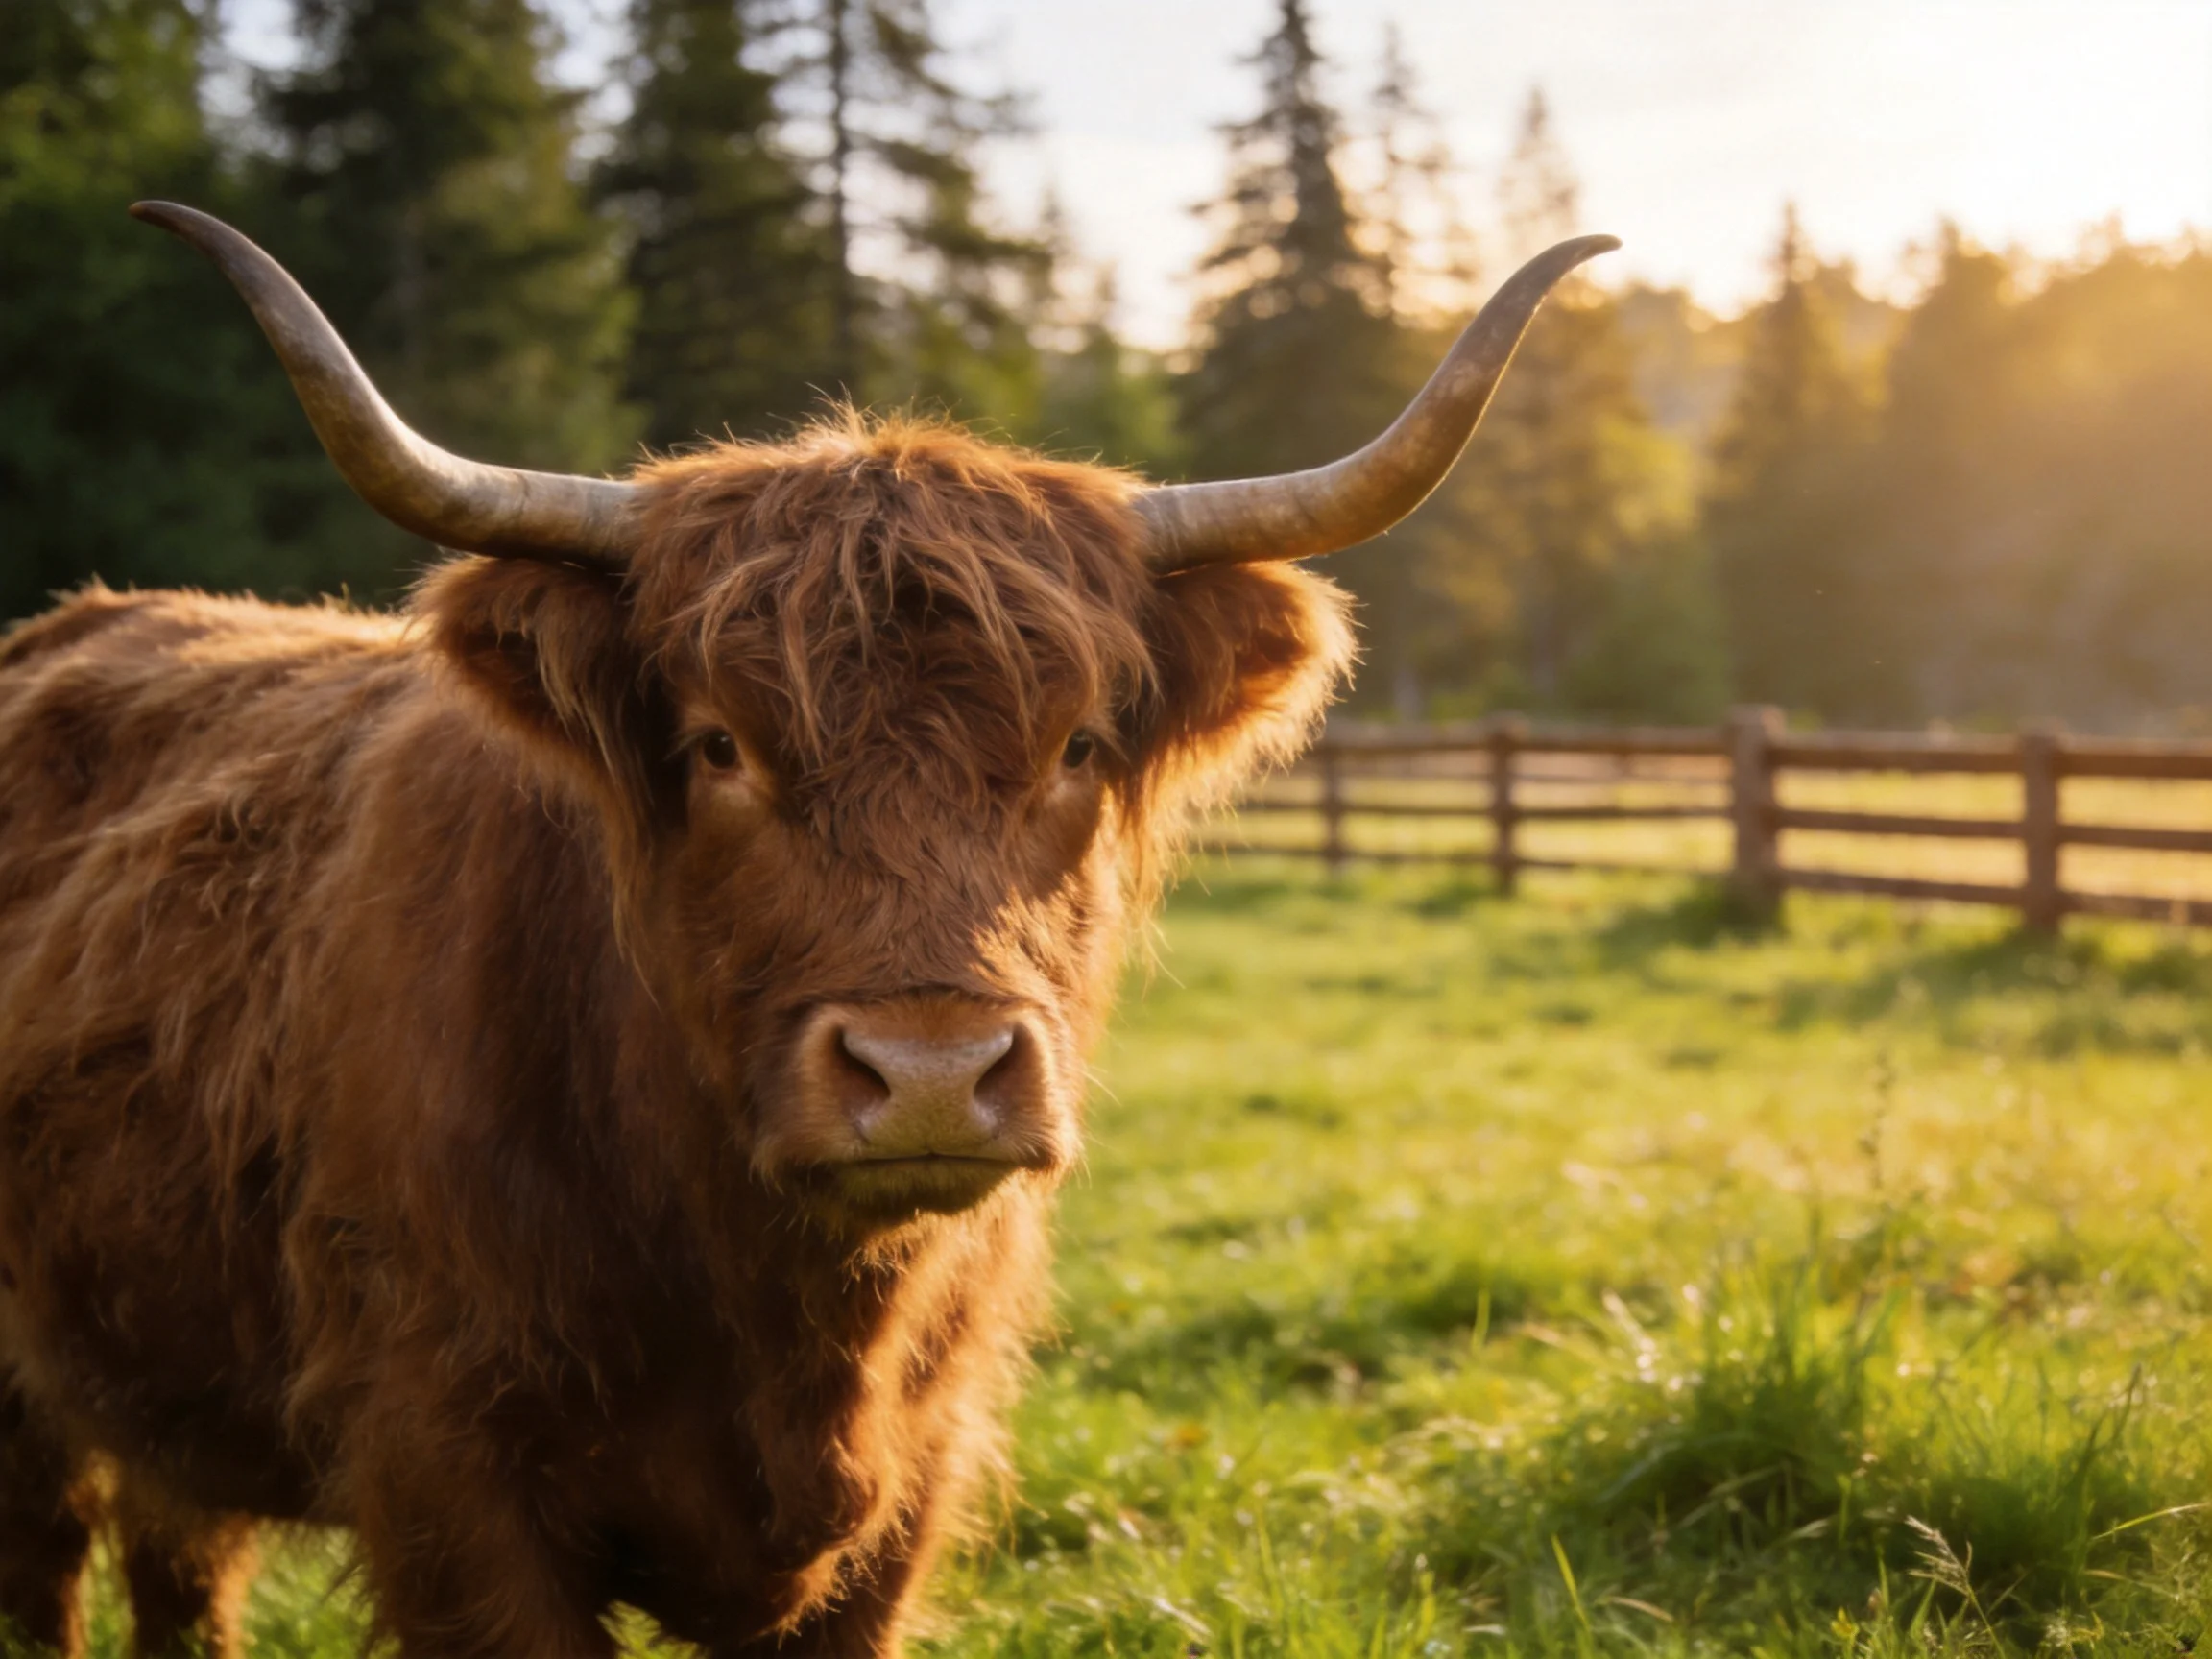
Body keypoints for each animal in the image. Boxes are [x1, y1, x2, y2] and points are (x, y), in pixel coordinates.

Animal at [0, 201, 1613, 1658]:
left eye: (1080, 743)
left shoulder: (910, 1489)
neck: (785, 1321)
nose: (930, 1075)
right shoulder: (443, 1468)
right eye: (720, 745)